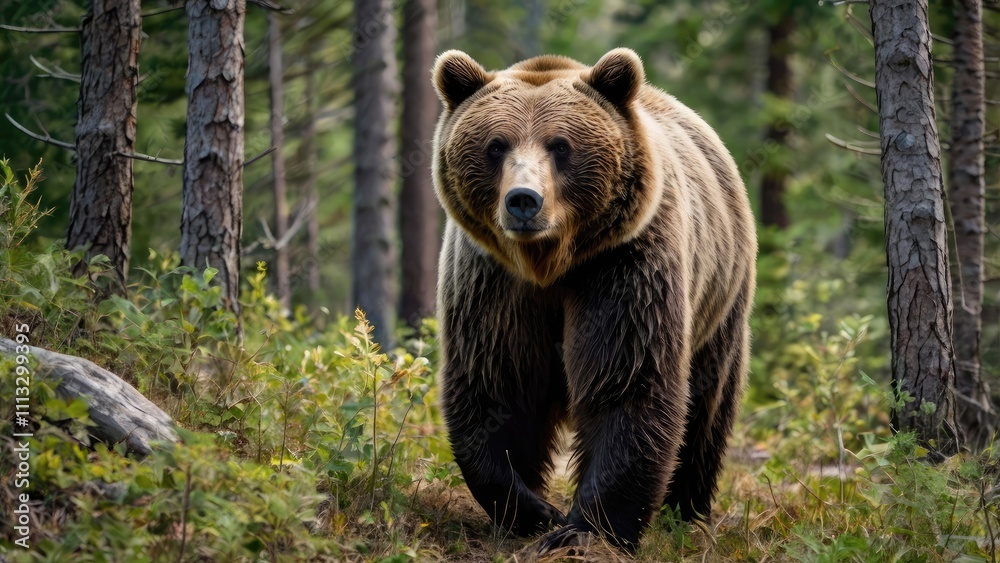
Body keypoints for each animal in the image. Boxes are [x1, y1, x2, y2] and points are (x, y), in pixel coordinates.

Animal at [430, 48, 756, 553]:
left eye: (560, 145)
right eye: (496, 145)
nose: (523, 200)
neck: (550, 262)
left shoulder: (623, 265)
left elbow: (626, 381)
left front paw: (585, 529)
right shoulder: (493, 282)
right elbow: (496, 382)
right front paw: (533, 511)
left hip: (721, 297)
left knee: (708, 404)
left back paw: (687, 510)